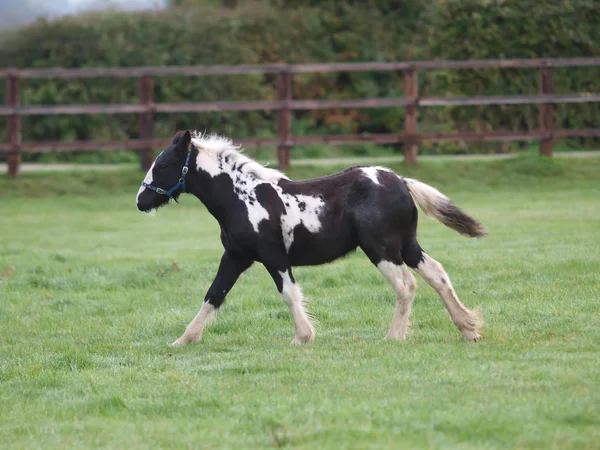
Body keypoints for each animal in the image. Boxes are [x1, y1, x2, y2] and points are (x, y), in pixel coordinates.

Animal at [137, 128, 488, 346]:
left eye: (165, 164)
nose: (141, 201)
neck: (242, 198)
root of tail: (400, 180)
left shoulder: (273, 256)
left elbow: (289, 293)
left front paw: (302, 337)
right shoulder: (236, 256)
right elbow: (214, 294)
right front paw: (183, 340)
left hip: (381, 248)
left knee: (406, 285)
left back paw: (393, 337)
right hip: (407, 245)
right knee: (437, 274)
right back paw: (468, 328)